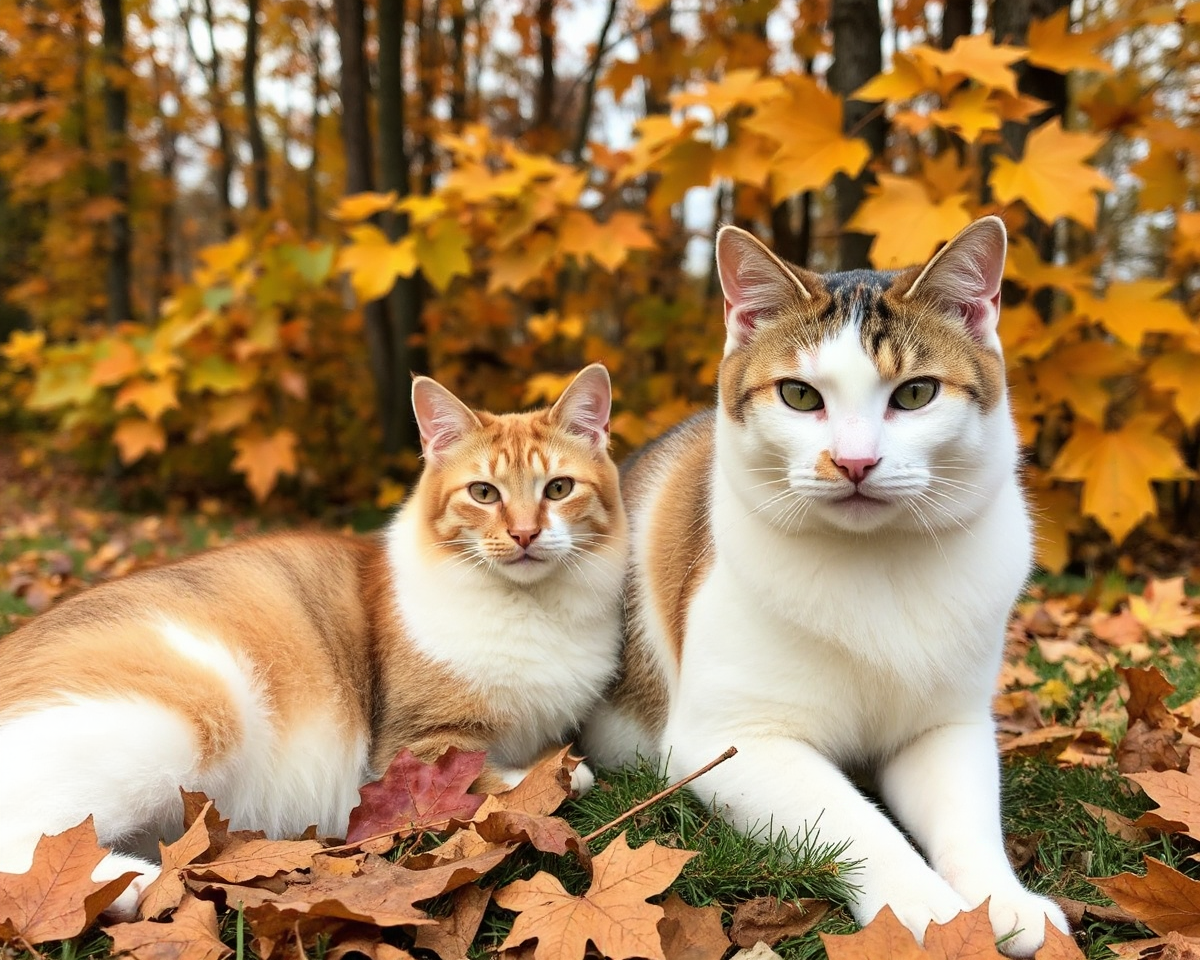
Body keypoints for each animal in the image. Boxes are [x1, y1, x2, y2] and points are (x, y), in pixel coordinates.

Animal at [0, 364, 633, 916]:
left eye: (558, 488)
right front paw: (555, 774)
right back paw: (127, 885)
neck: (529, 608)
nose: (525, 533)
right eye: (483, 493)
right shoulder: (413, 751)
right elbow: (505, 780)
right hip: (183, 718)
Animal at [580, 220, 1070, 955]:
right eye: (801, 395)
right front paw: (930, 913)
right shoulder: (733, 742)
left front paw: (1002, 902)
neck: (875, 564)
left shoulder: (945, 727)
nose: (855, 462)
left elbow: (969, 822)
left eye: (916, 394)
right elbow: (856, 821)